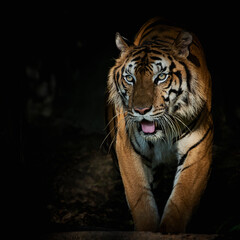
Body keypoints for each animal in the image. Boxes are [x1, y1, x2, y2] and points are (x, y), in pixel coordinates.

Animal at [105, 17, 212, 234]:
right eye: (130, 78)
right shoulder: (127, 147)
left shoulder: (199, 145)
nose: (141, 110)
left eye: (161, 77)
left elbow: (182, 199)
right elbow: (140, 198)